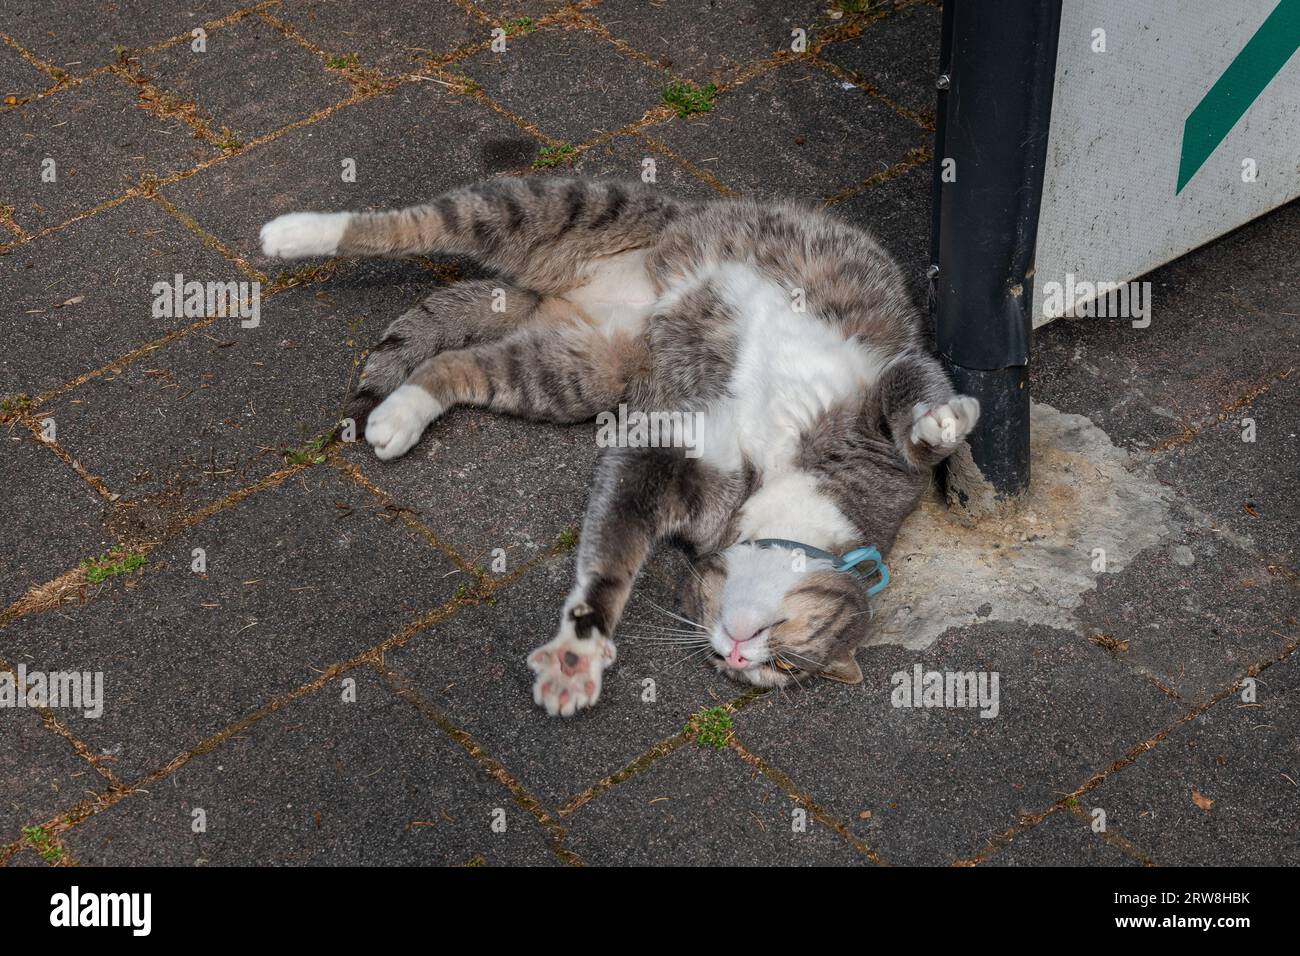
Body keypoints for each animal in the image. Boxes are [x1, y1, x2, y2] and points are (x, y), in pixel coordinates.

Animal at [261, 178, 977, 717]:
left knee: (458, 363)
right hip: (580, 208)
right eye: (788, 642)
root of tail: (564, 291)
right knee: (425, 220)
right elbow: (912, 391)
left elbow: (616, 538)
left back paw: (400, 414)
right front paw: (944, 420)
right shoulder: (869, 413)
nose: (737, 653)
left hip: (575, 373)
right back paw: (294, 231)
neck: (786, 499)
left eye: (780, 668)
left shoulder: (669, 453)